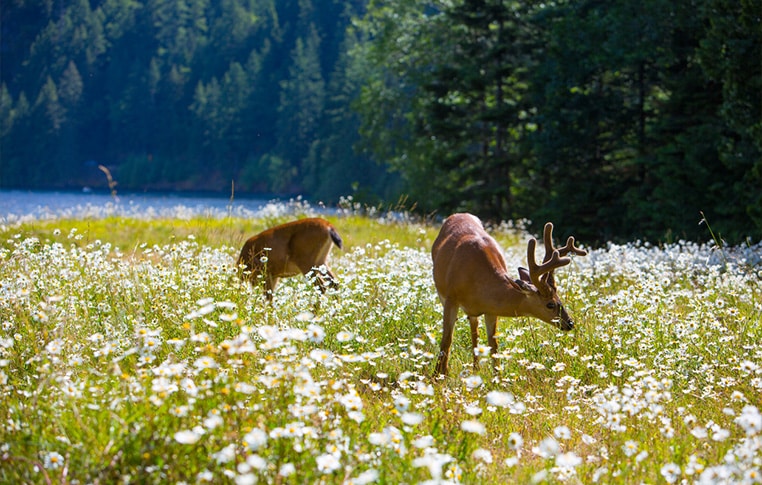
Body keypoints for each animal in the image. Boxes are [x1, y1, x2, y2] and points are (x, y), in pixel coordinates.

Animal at [430, 214, 584, 376]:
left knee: (474, 329)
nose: (570, 323)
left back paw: (476, 368)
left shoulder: (491, 310)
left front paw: (497, 376)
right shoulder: (451, 299)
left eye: (559, 299)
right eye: (550, 304)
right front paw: (438, 375)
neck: (478, 283)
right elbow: (447, 339)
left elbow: (494, 344)